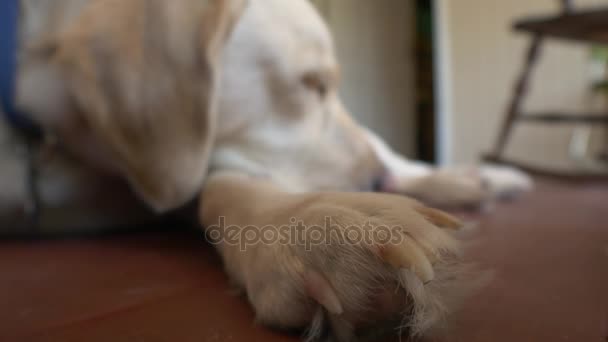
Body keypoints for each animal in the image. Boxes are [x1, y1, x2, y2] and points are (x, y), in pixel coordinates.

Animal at [0, 0, 532, 340]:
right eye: (311, 83)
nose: (373, 182)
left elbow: (224, 185)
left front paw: (312, 221)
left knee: (398, 157)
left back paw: (476, 180)